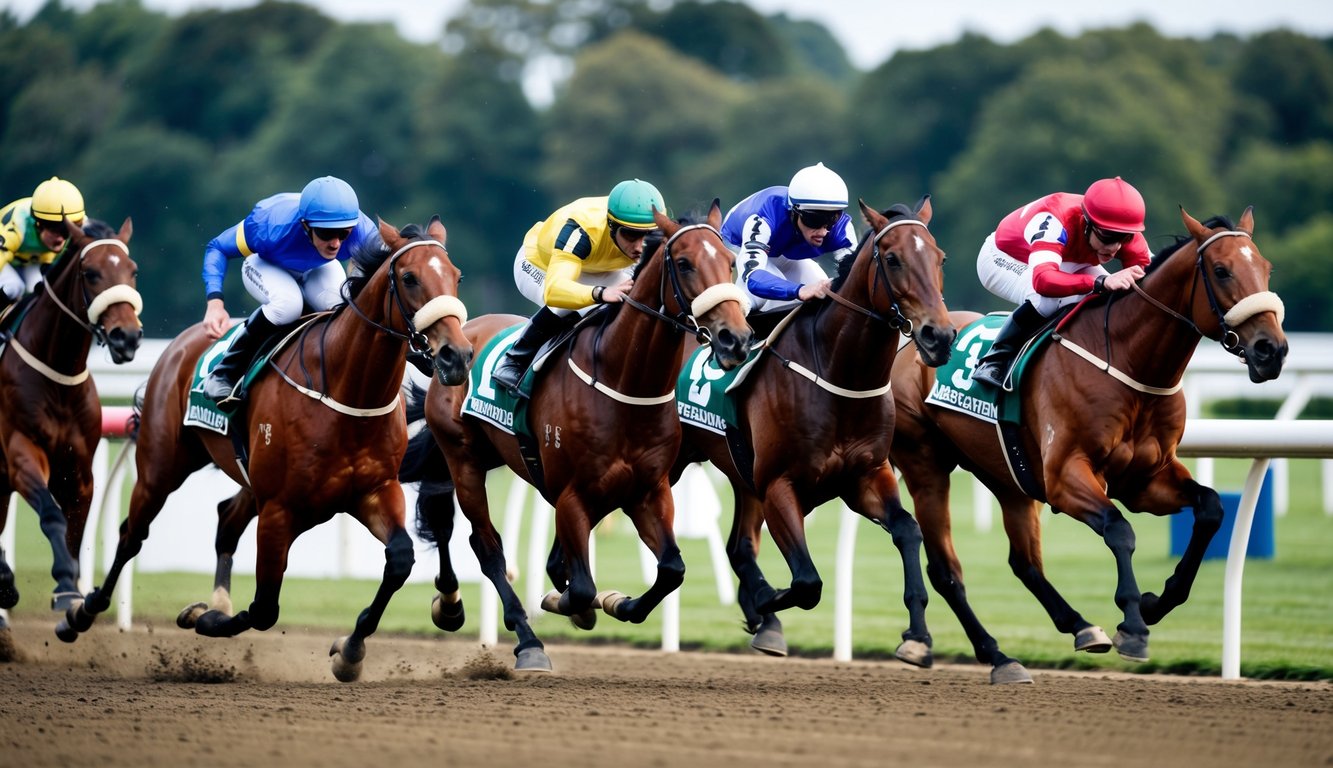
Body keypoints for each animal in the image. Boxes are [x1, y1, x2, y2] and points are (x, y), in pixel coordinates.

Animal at [0, 218, 140, 626]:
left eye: (133, 271)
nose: (127, 336)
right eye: (90, 273)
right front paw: (63, 582)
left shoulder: (79, 470)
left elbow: (75, 527)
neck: (57, 374)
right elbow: (51, 516)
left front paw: (71, 592)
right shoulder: (20, 454)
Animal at [59, 218, 474, 680]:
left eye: (456, 276)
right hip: (161, 465)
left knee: (226, 519)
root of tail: (183, 342)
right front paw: (204, 617)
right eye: (410, 278)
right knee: (132, 534)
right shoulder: (280, 509)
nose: (457, 356)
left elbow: (400, 559)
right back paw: (82, 612)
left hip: (248, 479)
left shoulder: (374, 491)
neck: (346, 392)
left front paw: (350, 652)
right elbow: (263, 610)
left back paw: (215, 598)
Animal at [399, 204, 757, 672]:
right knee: (486, 545)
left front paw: (617, 602)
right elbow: (582, 586)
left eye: (731, 262)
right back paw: (524, 639)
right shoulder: (571, 495)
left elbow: (671, 570)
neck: (624, 382)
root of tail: (459, 339)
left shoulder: (649, 490)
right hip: (463, 457)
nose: (736, 339)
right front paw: (570, 601)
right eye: (684, 263)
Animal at [671, 197, 954, 666]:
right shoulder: (780, 486)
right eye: (893, 258)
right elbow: (807, 582)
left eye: (940, 258)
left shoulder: (865, 476)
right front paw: (764, 602)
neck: (839, 373)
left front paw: (917, 635)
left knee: (739, 548)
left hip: (742, 476)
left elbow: (908, 530)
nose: (940, 336)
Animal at [890, 205, 1285, 682]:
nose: (1272, 350)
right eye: (1223, 270)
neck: (1130, 364)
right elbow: (1119, 530)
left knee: (1024, 562)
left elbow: (1210, 507)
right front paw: (1133, 625)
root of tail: (912, 344)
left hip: (1006, 472)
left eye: (1265, 268)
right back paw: (985, 653)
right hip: (926, 463)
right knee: (946, 569)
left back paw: (1077, 627)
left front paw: (1156, 602)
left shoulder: (1145, 480)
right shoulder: (1066, 477)